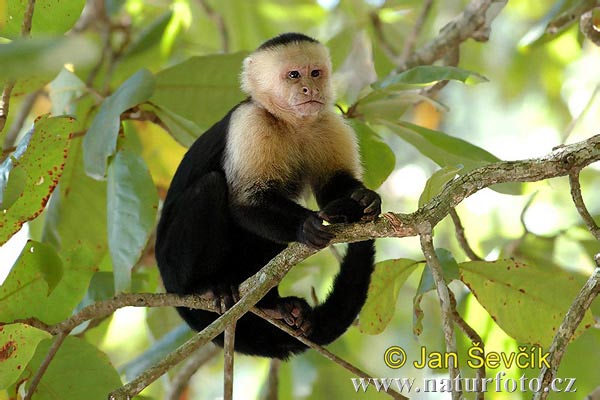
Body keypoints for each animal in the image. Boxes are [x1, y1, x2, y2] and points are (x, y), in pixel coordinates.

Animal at [155, 33, 380, 360]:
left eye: (315, 73)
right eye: (293, 75)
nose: (309, 89)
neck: (291, 123)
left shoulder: (328, 123)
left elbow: (333, 187)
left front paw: (363, 199)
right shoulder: (250, 122)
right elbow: (246, 201)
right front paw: (307, 226)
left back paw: (274, 304)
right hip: (173, 264)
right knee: (210, 186)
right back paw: (206, 287)